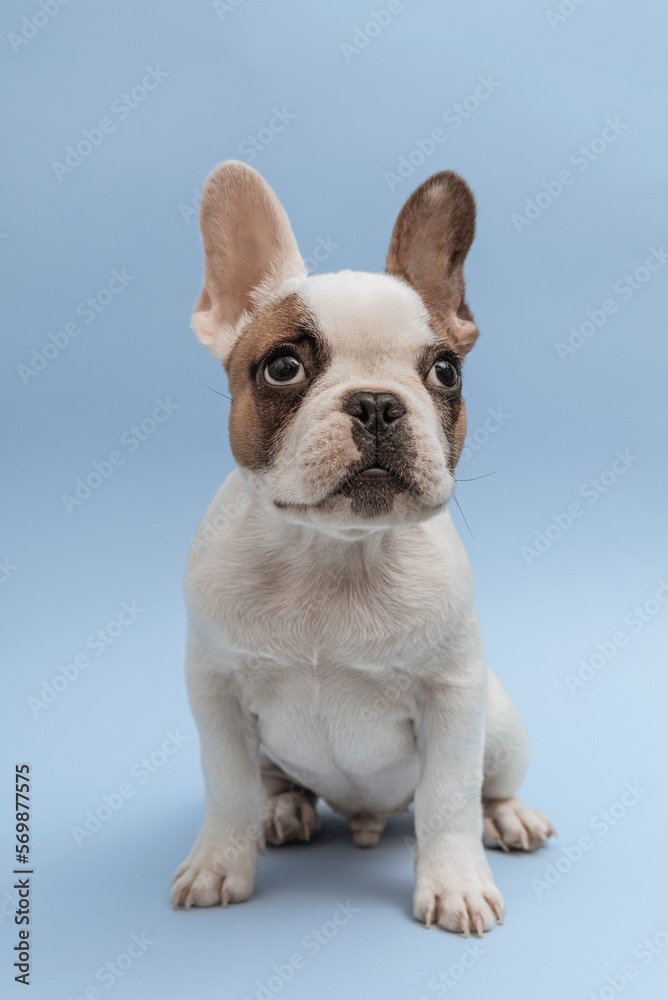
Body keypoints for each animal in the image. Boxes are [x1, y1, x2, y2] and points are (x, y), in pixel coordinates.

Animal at [171, 160, 552, 932]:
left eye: (446, 372)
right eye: (283, 368)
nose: (376, 402)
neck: (335, 553)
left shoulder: (452, 698)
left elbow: (446, 801)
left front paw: (456, 883)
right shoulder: (216, 692)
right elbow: (227, 788)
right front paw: (221, 863)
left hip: (498, 726)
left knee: (484, 787)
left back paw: (508, 817)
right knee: (271, 784)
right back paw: (284, 811)